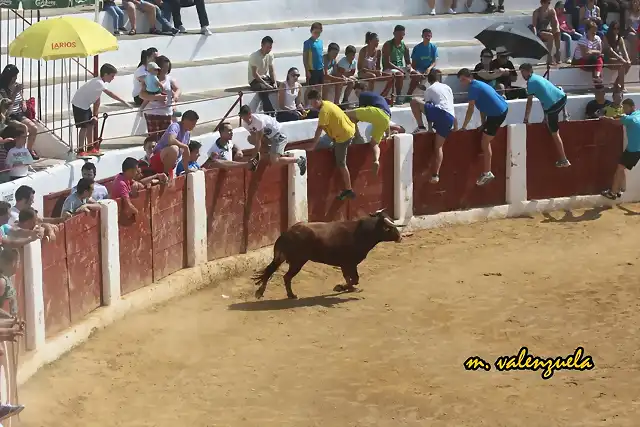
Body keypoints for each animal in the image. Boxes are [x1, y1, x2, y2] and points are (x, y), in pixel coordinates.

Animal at [254, 209, 400, 300]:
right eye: (389, 228)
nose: (400, 237)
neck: (362, 233)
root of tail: (286, 233)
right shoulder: (349, 263)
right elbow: (354, 279)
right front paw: (341, 287)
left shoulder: (346, 264)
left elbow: (351, 279)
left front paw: (346, 288)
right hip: (297, 262)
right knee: (286, 277)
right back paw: (291, 295)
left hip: (284, 258)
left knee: (271, 271)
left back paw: (262, 292)